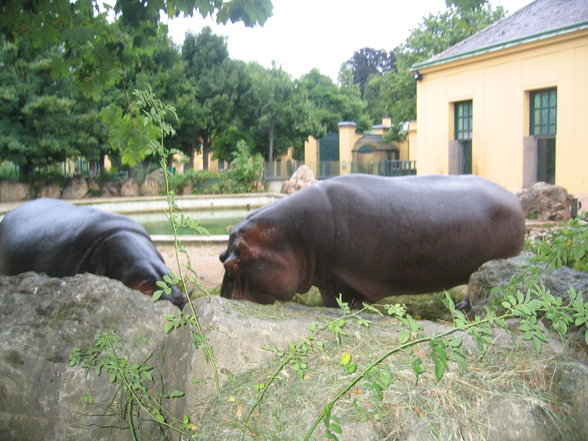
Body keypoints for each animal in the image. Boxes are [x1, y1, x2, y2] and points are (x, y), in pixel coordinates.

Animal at [219, 174, 524, 308]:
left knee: (476, 287)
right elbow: (329, 299)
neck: (289, 237)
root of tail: (514, 200)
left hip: (487, 267)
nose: (223, 297)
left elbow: (347, 301)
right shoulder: (327, 277)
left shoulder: (345, 279)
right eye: (222, 257)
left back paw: (464, 307)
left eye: (231, 265)